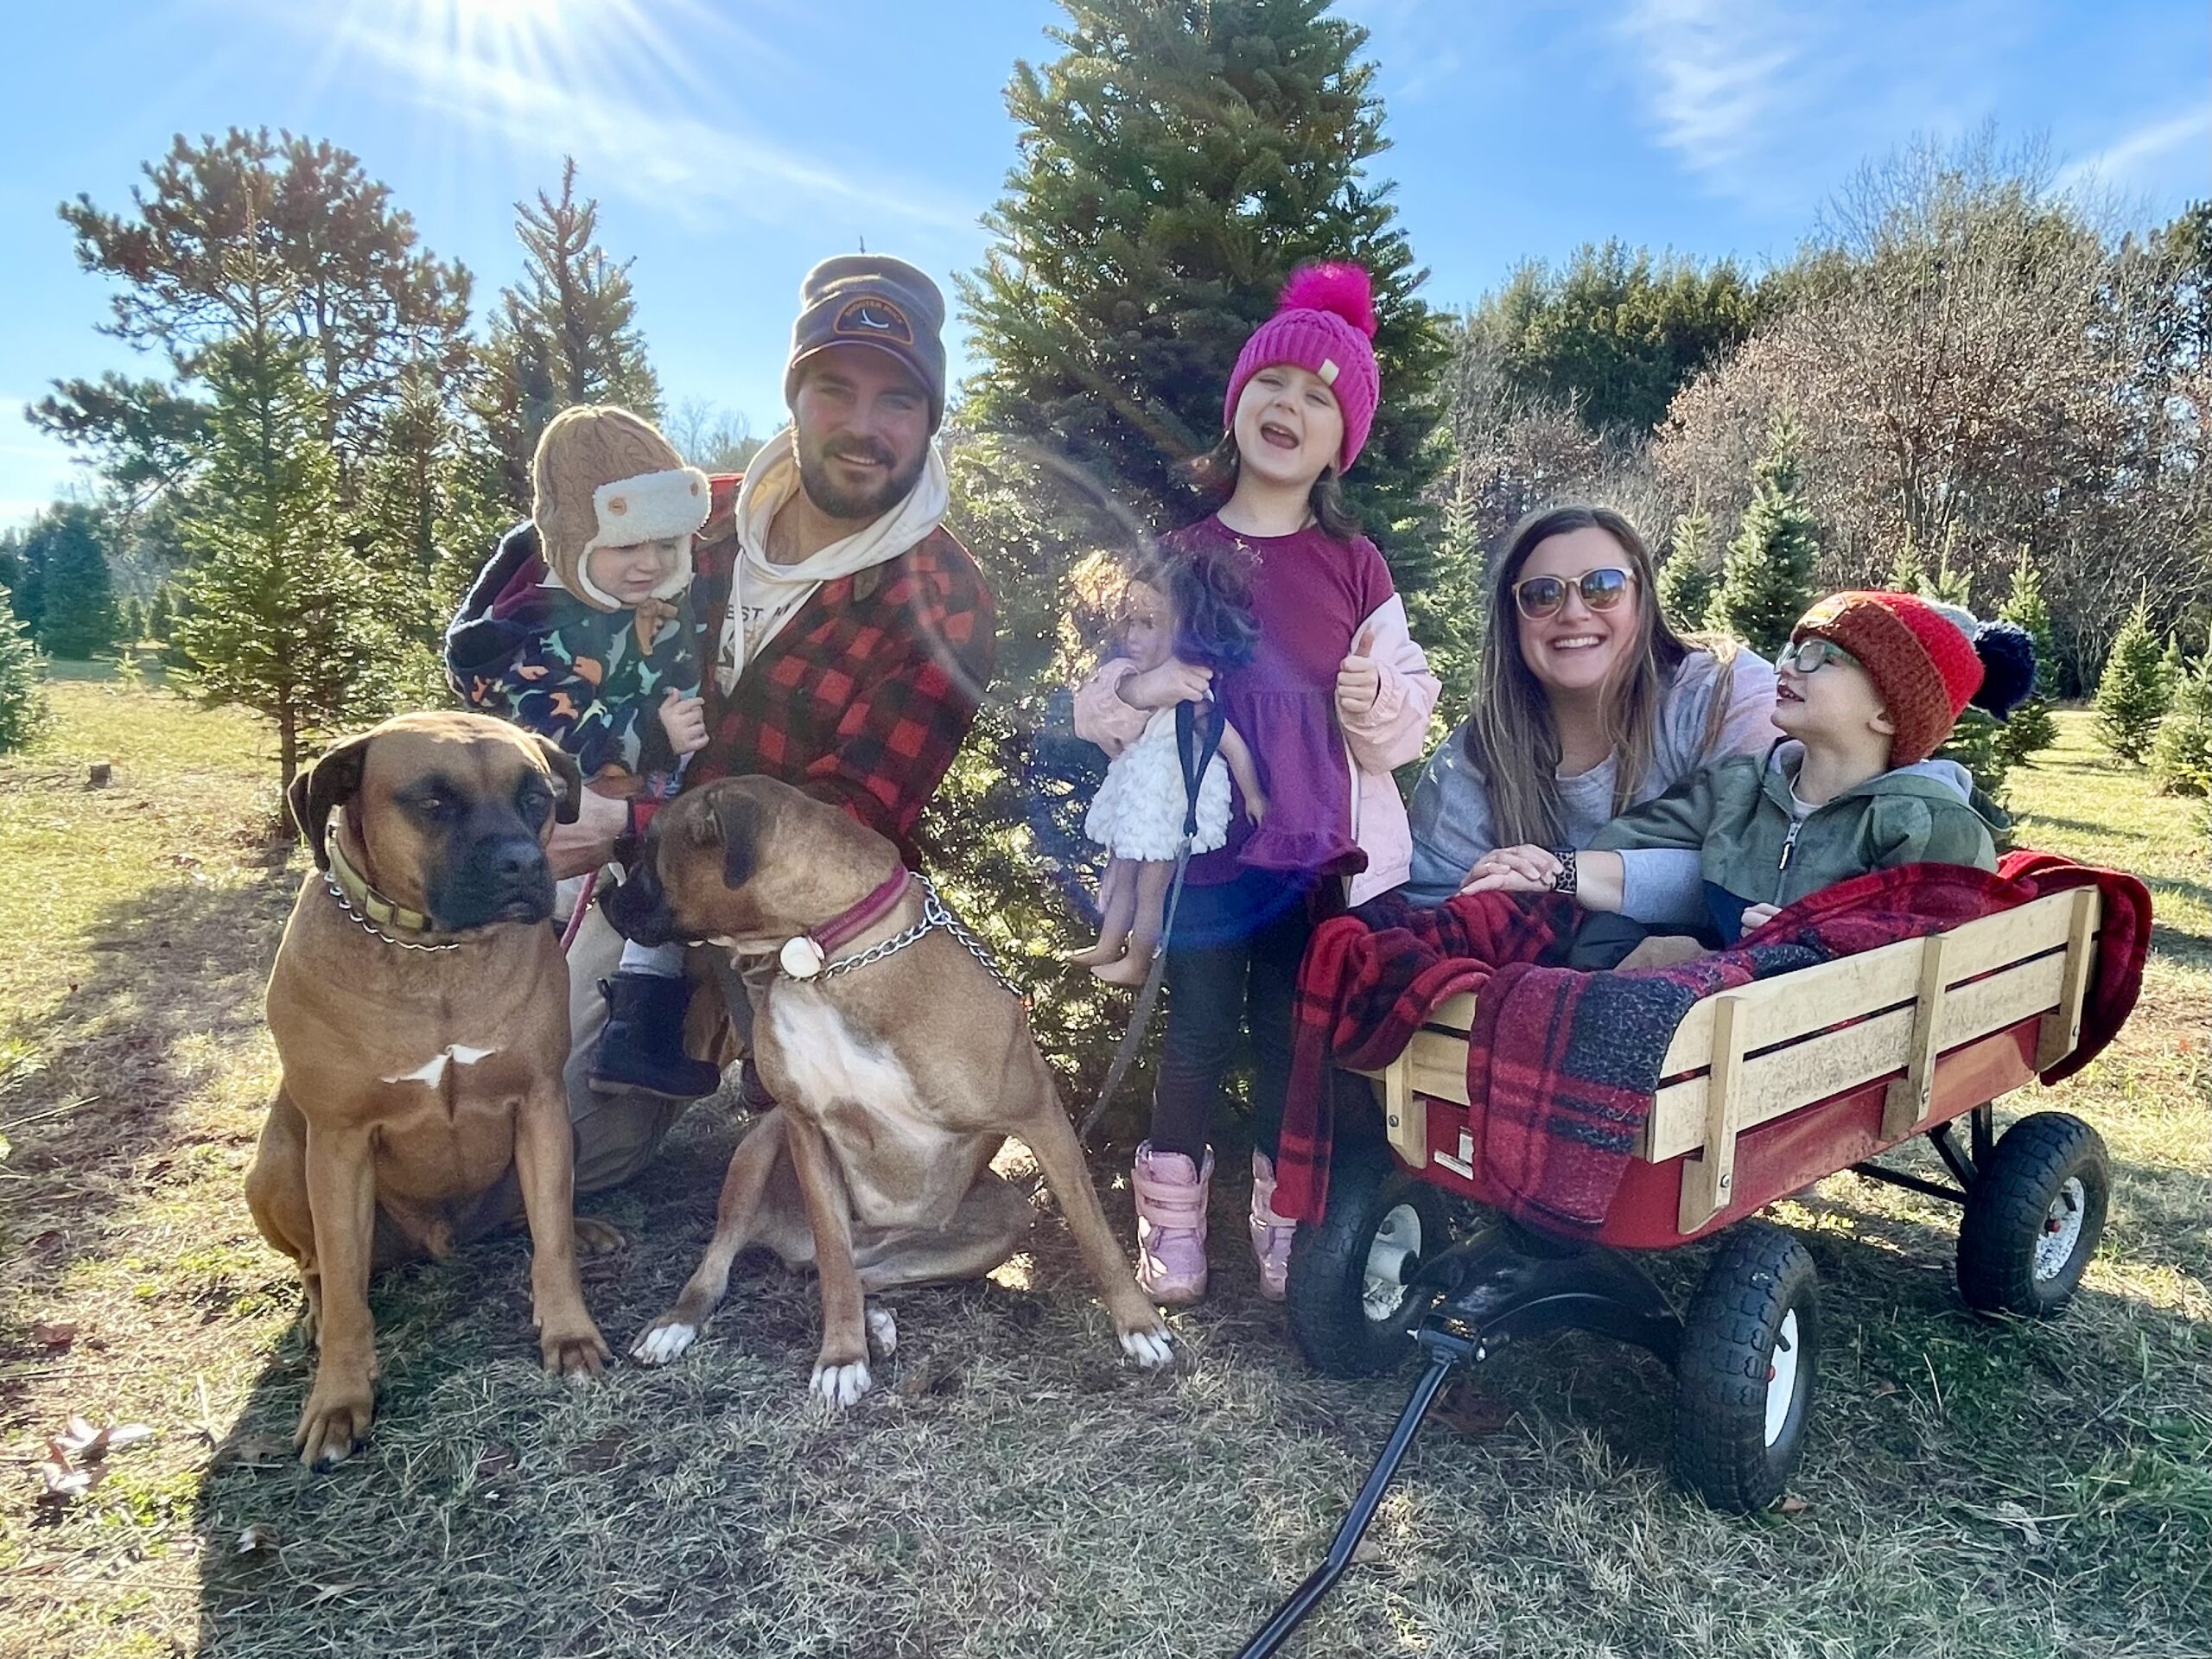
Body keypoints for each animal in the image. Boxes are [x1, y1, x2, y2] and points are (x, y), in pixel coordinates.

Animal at [249, 716, 614, 1468]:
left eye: (536, 797)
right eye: (434, 802)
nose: (521, 864)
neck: (435, 954)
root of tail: (441, 1243)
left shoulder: (541, 1103)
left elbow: (551, 1241)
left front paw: (569, 1332)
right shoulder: (338, 1141)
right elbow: (345, 1288)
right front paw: (339, 1399)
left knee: (535, 1217)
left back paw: (582, 1226)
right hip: (275, 1164)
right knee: (319, 1268)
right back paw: (316, 1314)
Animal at [597, 779, 1167, 1407]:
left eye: (648, 850)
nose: (605, 891)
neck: (824, 957)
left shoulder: (1040, 1115)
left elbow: (1095, 1233)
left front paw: (1139, 1325)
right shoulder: (804, 1126)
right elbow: (834, 1260)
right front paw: (842, 1356)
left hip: (1005, 1218)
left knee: (858, 1273)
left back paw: (877, 1321)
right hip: (758, 1150)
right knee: (743, 1265)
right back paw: (679, 1323)